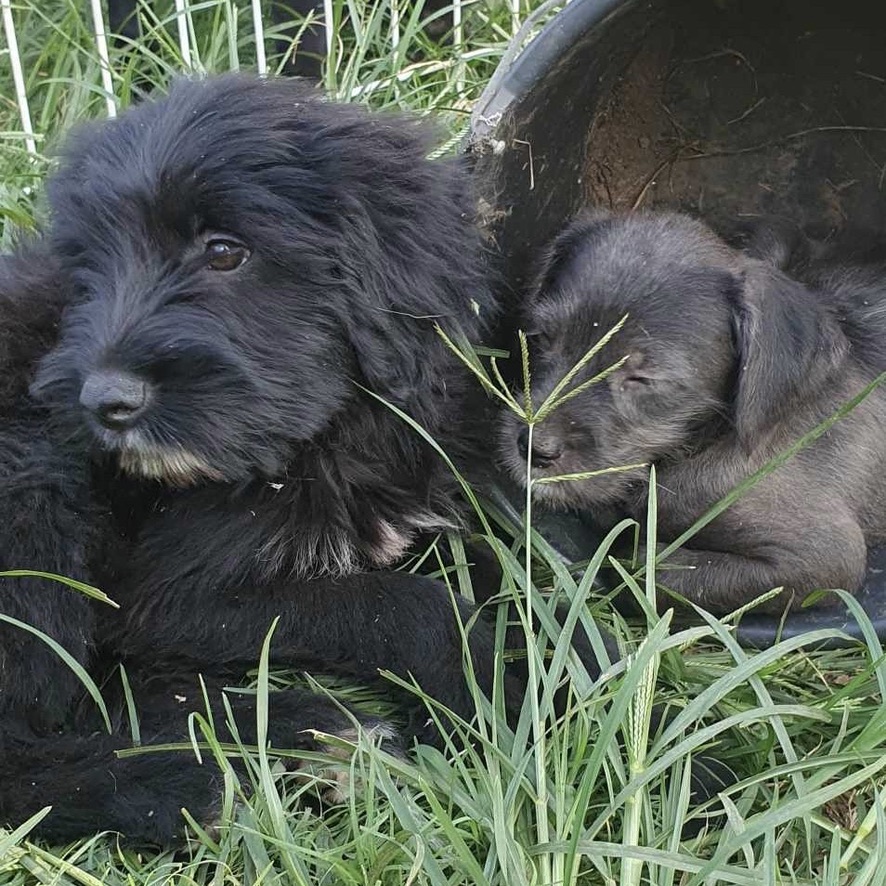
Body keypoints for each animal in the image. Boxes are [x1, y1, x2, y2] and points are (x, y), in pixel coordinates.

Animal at [0, 76, 520, 848]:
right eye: (87, 269)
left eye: (224, 252)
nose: (103, 401)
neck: (317, 438)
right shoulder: (167, 601)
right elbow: (397, 604)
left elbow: (514, 571)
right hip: (30, 487)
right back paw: (204, 772)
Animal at [500, 213, 886, 616]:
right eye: (542, 338)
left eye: (644, 378)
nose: (533, 447)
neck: (711, 441)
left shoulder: (819, 557)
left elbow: (648, 571)